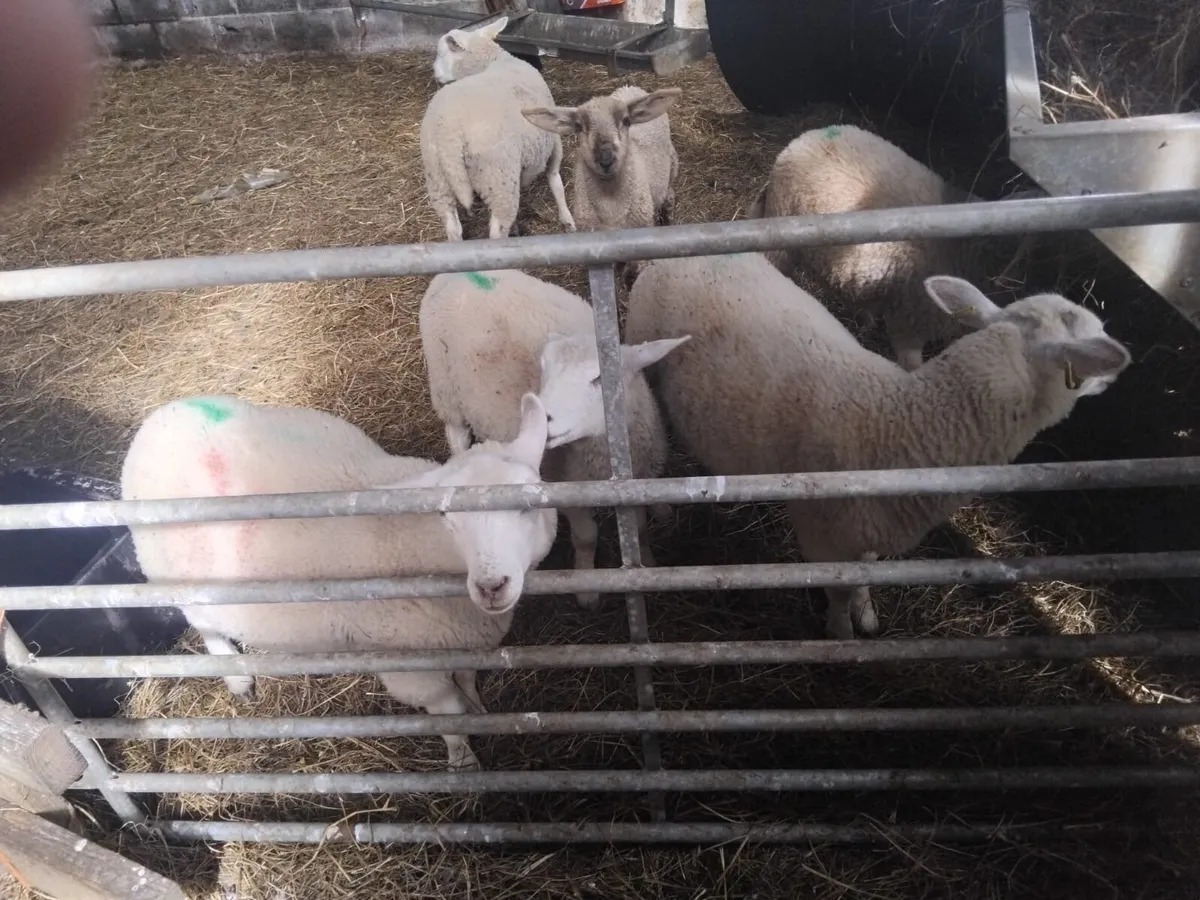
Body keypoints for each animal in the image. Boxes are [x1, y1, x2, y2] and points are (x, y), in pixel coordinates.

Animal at [120, 392, 559, 771]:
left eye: (528, 507)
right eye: (445, 517)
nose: (491, 585)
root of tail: (163, 414)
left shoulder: (462, 641)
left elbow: (467, 680)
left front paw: (479, 711)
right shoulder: (410, 665)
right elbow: (448, 713)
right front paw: (463, 760)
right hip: (176, 576)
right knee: (204, 624)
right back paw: (237, 675)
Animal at [419, 268, 690, 609]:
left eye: (599, 378)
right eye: (543, 370)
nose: (541, 416)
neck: (601, 460)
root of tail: (461, 272)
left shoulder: (637, 481)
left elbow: (639, 527)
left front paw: (648, 564)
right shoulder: (564, 488)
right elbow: (586, 537)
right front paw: (587, 587)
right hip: (445, 389)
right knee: (455, 432)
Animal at [421, 15, 575, 241]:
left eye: (442, 54)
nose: (435, 74)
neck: (492, 61)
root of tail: (450, 133)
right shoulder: (552, 141)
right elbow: (556, 181)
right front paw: (567, 220)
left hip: (438, 179)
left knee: (453, 228)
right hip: (498, 176)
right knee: (496, 232)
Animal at [523, 85, 681, 288]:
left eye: (626, 121)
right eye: (579, 127)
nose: (606, 160)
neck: (611, 207)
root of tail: (631, 87)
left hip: (671, 168)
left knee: (669, 197)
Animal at [625, 252, 1131, 640]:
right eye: (1083, 357)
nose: (1118, 370)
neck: (903, 421)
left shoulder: (868, 525)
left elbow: (864, 575)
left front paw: (865, 614)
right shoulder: (823, 534)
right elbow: (838, 590)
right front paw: (840, 634)